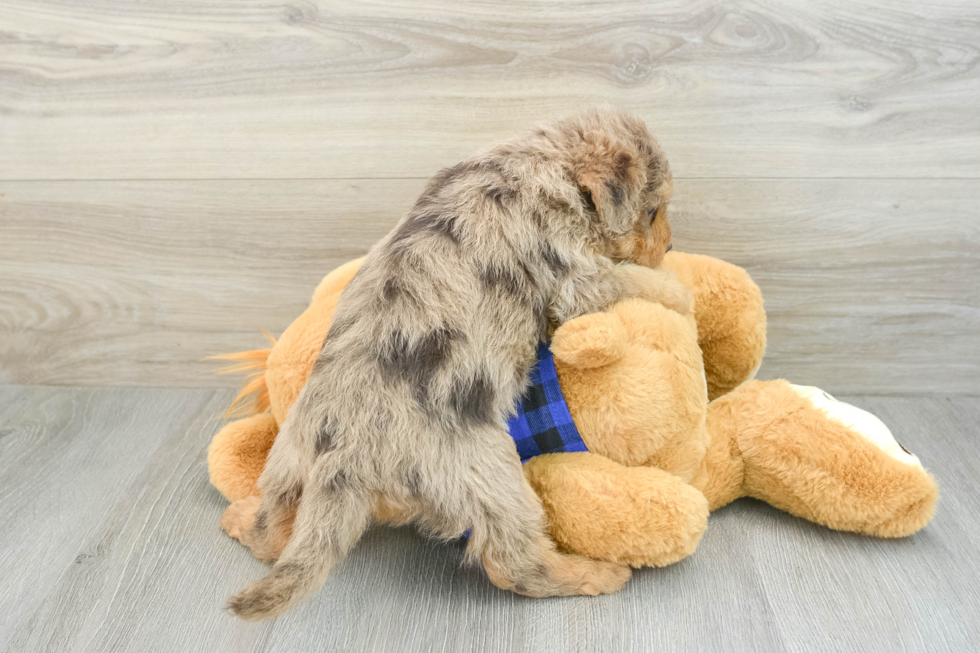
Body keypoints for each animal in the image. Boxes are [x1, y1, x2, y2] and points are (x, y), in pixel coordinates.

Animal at [230, 105, 688, 616]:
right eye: (652, 211)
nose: (670, 248)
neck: (544, 159)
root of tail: (345, 458)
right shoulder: (577, 277)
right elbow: (629, 280)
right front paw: (677, 290)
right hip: (487, 475)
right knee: (516, 564)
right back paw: (596, 574)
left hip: (288, 458)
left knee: (272, 529)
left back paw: (240, 517)